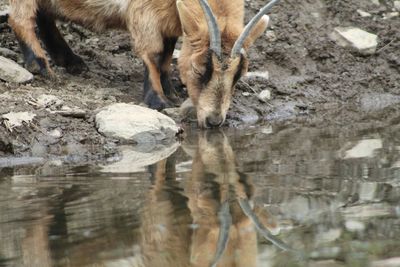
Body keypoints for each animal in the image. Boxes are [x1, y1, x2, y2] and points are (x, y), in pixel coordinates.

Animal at [7, 0, 280, 127]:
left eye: (239, 75)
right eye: (199, 69)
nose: (214, 121)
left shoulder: (171, 19)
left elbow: (167, 54)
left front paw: (171, 91)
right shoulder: (144, 13)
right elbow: (152, 53)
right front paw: (158, 99)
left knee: (43, 14)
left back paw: (71, 61)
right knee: (20, 16)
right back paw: (40, 65)